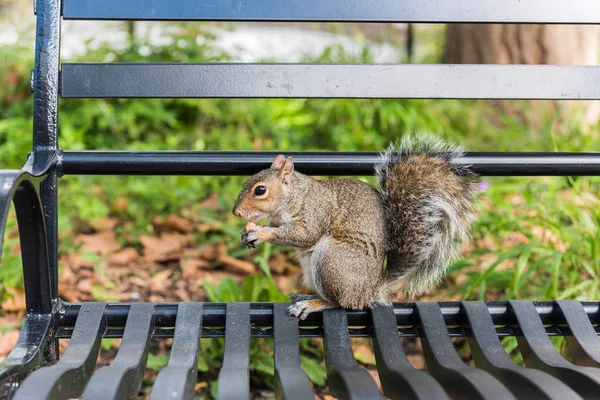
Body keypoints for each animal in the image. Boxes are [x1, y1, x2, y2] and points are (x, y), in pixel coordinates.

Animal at [232, 134, 480, 318]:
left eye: (260, 190)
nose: (236, 212)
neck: (294, 195)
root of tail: (368, 292)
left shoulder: (315, 211)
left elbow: (305, 234)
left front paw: (261, 233)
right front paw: (246, 234)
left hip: (332, 259)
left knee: (339, 302)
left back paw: (313, 304)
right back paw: (308, 297)